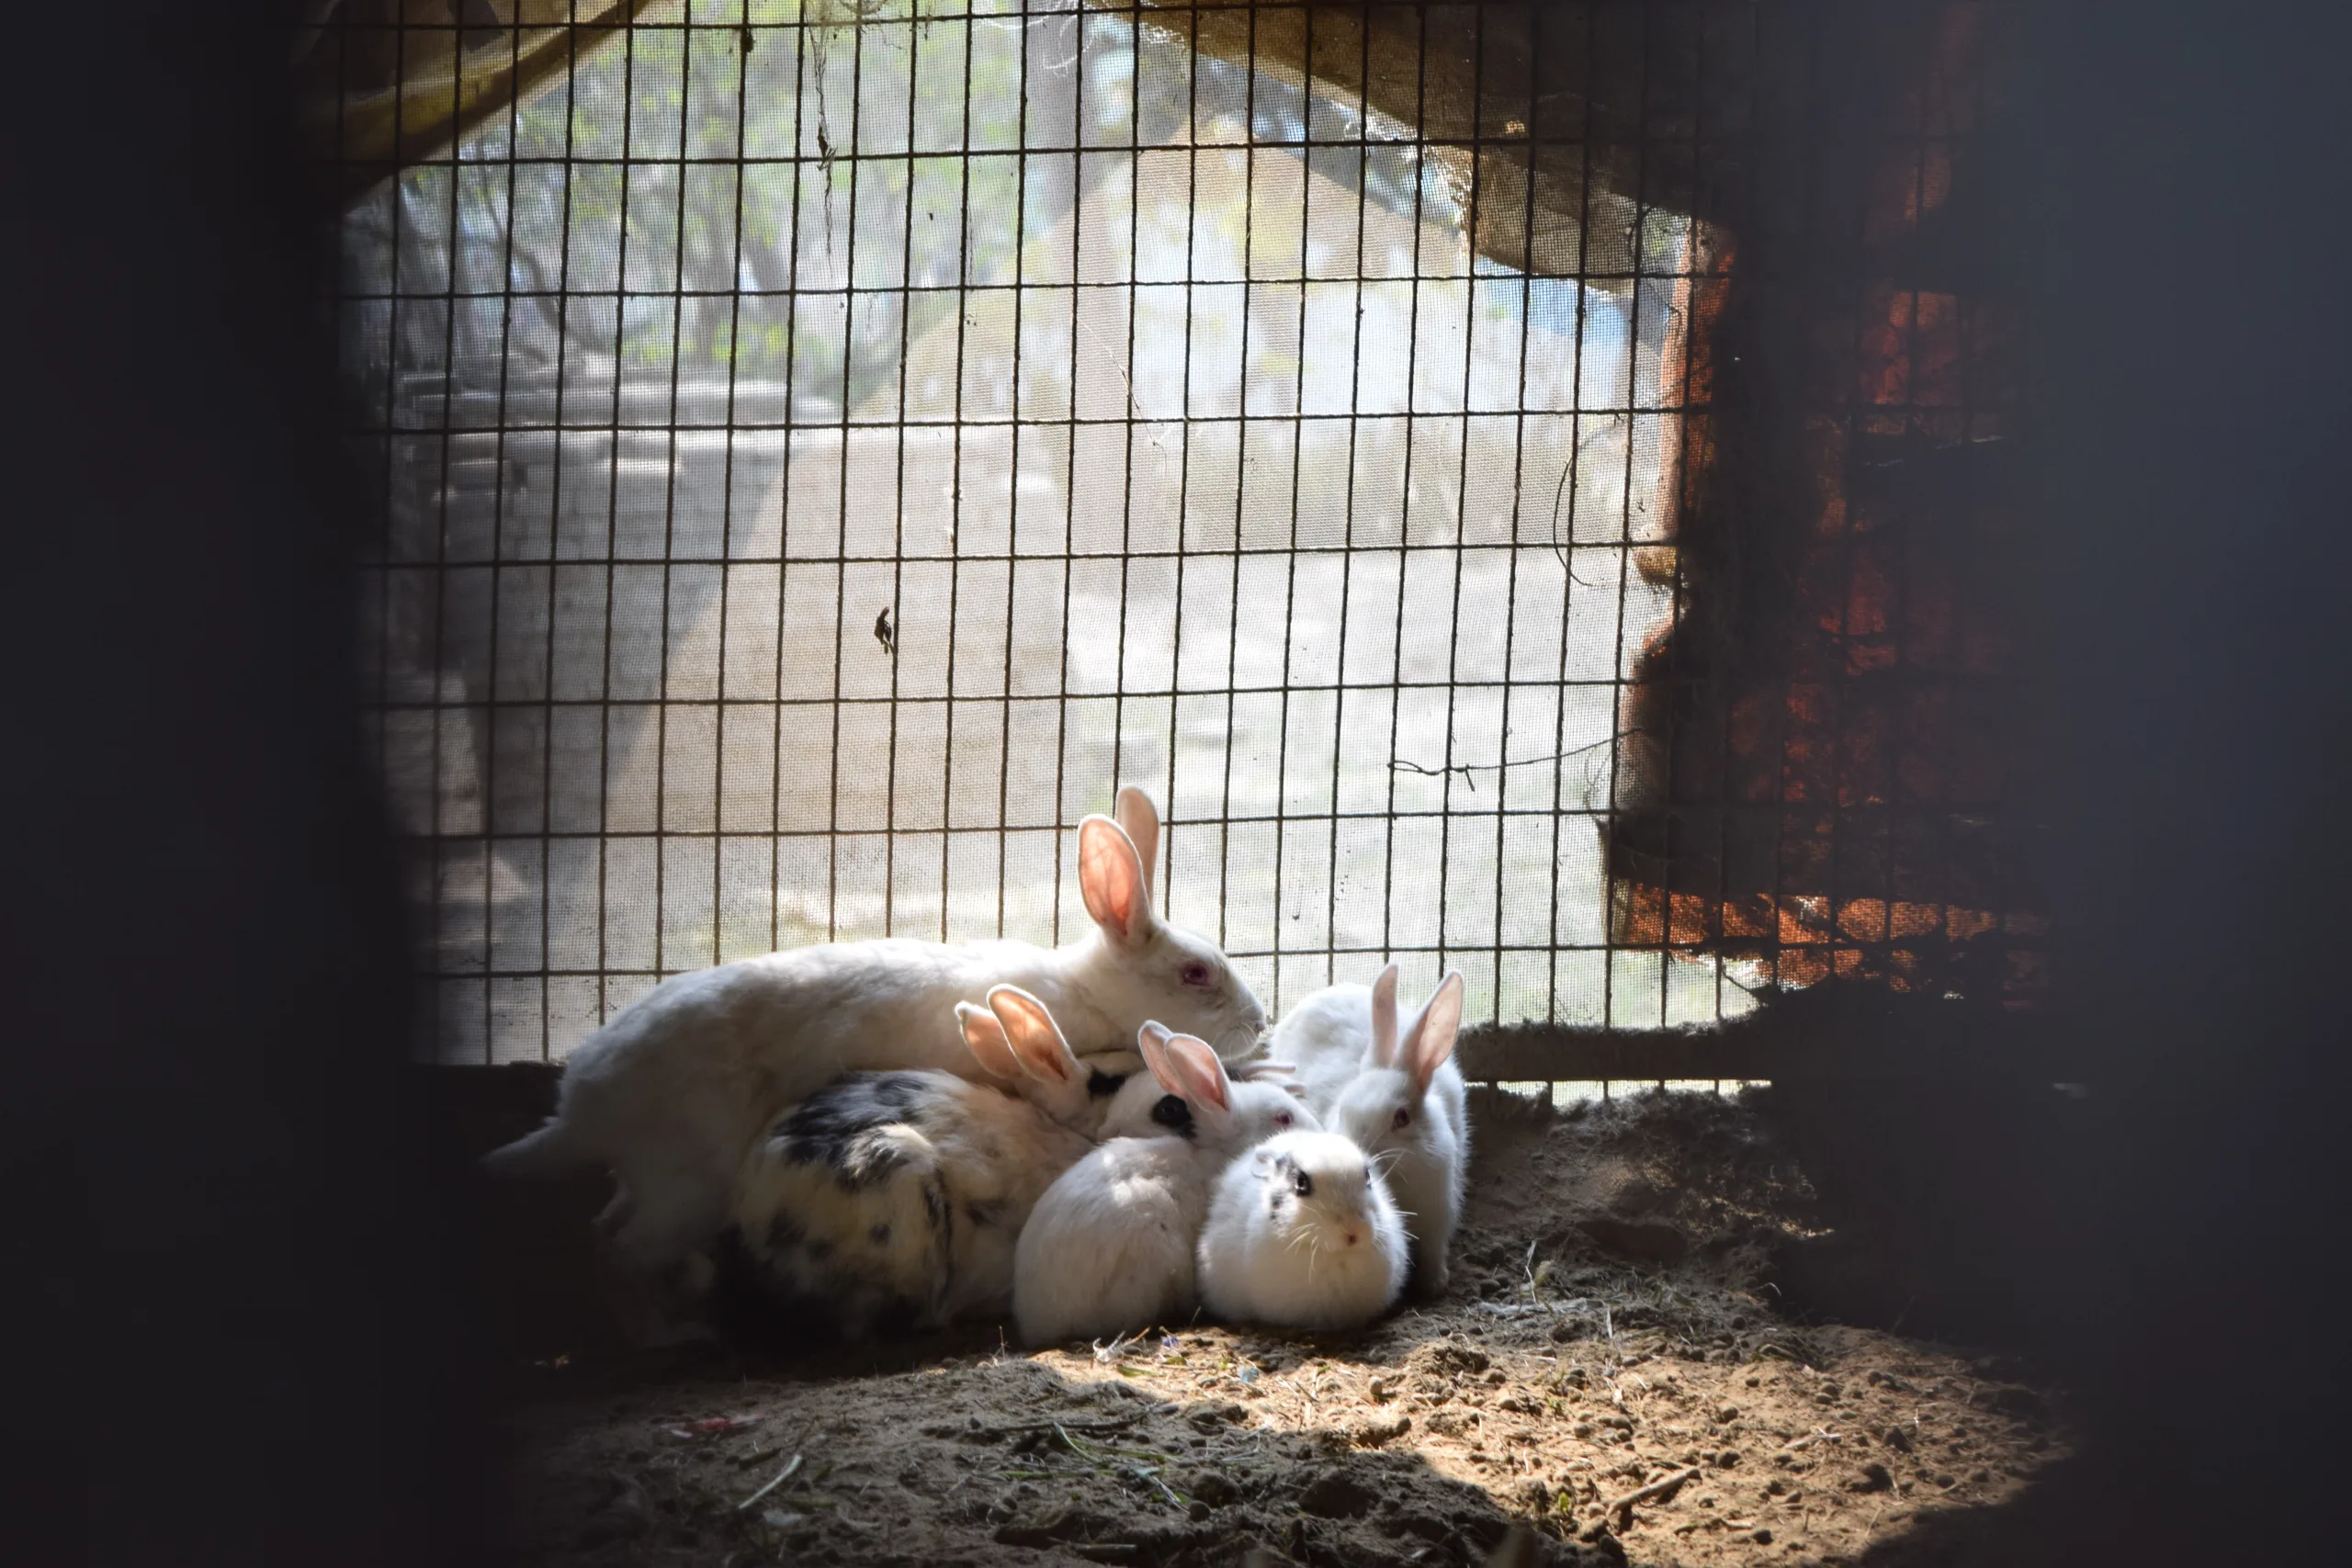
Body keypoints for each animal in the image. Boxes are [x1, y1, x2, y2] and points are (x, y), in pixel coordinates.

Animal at [1270, 968, 1467, 1297]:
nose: (1357, 1148)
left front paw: (1435, 1284)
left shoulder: (1438, 1210)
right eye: (1342, 1110)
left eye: (1402, 1117)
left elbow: (1433, 1251)